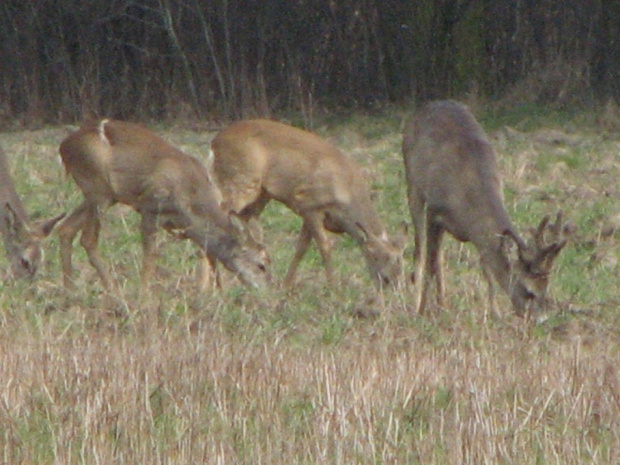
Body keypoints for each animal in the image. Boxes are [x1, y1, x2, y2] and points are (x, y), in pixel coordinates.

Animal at [57, 119, 268, 294]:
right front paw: (145, 298)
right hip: (98, 190)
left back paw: (70, 292)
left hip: (104, 196)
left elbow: (208, 253)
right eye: (261, 265)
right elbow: (150, 256)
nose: (266, 289)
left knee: (66, 228)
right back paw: (114, 294)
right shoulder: (150, 207)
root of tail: (63, 147)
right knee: (88, 239)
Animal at [206, 118, 404, 288]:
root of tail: (214, 142)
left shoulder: (308, 214)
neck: (346, 192)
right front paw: (333, 287)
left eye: (401, 260)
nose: (392, 282)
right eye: (375, 256)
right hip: (239, 181)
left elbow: (301, 248)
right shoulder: (311, 205)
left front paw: (286, 286)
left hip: (260, 195)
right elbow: (325, 247)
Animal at [402, 99, 568, 318]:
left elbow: (486, 267)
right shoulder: (434, 210)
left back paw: (442, 303)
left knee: (438, 256)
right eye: (528, 291)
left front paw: (494, 312)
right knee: (420, 250)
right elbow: (429, 262)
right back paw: (420, 303)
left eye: (545, 289)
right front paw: (421, 310)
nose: (539, 319)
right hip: (413, 185)